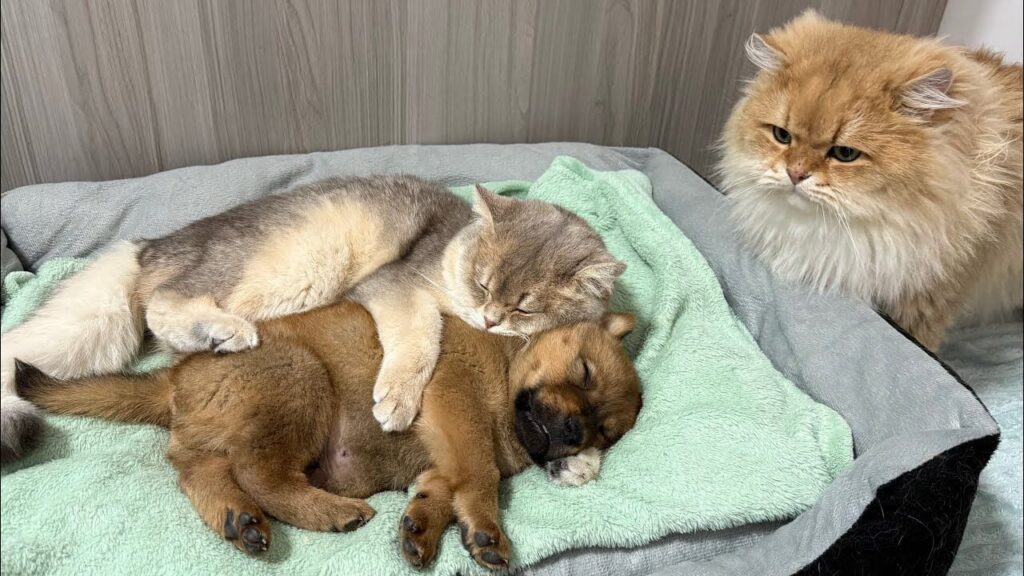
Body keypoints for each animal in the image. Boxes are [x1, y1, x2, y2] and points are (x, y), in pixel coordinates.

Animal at [0, 176, 625, 467]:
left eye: (526, 306)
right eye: (484, 283)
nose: (491, 320)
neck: (450, 247)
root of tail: (150, 247)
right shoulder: (396, 287)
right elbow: (421, 335)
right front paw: (397, 398)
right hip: (295, 265)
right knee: (165, 306)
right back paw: (225, 331)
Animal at [17, 299, 641, 570]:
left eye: (604, 431)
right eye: (583, 370)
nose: (572, 429)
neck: (507, 362)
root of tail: (176, 375)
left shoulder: (442, 453)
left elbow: (443, 490)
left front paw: (422, 528)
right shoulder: (455, 406)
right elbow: (480, 476)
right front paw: (488, 529)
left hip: (227, 428)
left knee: (202, 471)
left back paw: (238, 521)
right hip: (300, 380)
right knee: (259, 475)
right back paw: (329, 511)